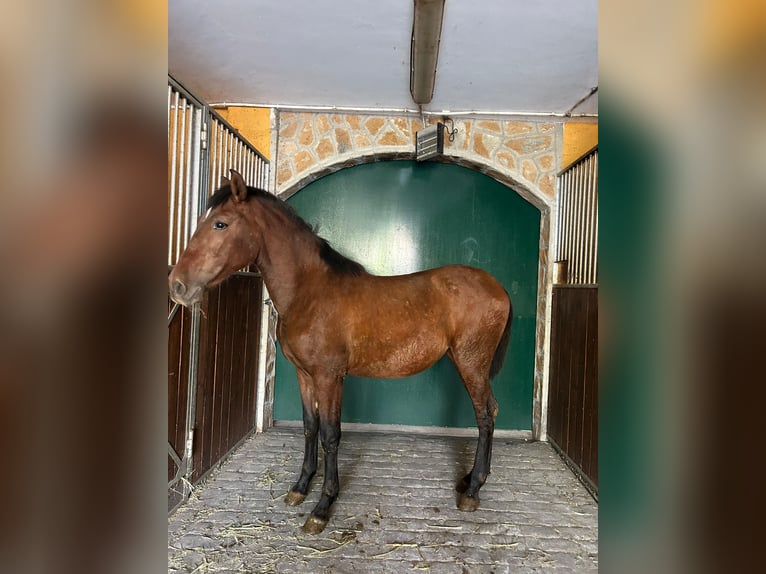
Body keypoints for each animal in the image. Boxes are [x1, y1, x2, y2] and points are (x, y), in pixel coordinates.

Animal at [170, 170, 516, 536]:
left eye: (220, 223)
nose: (177, 285)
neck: (309, 292)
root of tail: (497, 287)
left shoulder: (330, 377)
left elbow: (331, 435)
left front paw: (322, 508)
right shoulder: (305, 375)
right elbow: (310, 428)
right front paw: (300, 488)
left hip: (471, 364)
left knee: (484, 417)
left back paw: (473, 490)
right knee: (490, 412)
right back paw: (470, 480)